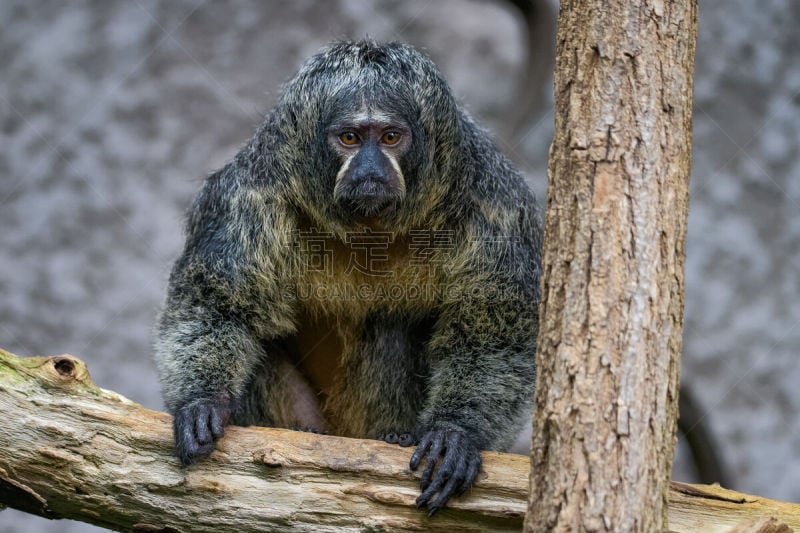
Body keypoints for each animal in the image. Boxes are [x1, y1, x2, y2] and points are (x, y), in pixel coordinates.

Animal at [155, 39, 544, 512]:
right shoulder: (243, 199)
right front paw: (202, 401)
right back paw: (302, 432)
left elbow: (493, 334)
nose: (370, 169)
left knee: (394, 326)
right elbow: (218, 305)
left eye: (390, 137)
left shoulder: (496, 207)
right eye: (350, 138)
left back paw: (393, 436)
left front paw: (458, 431)